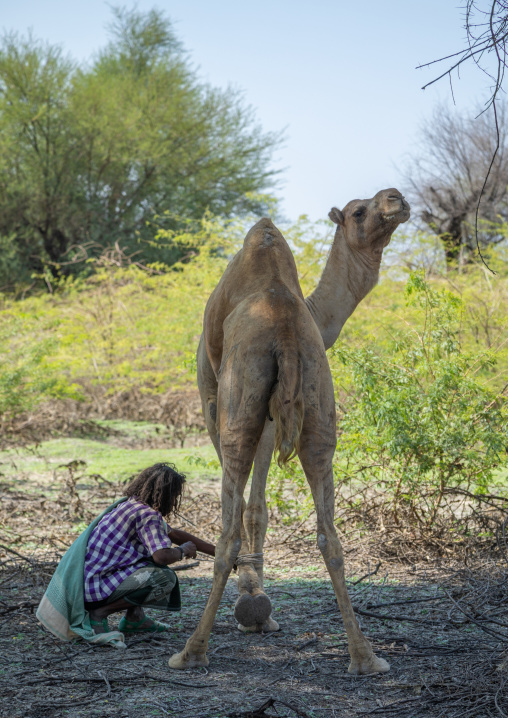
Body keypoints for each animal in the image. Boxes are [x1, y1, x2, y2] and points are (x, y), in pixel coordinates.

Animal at [169, 189, 410, 675]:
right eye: (359, 210)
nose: (396, 199)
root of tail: (284, 327)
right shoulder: (274, 414)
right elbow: (259, 506)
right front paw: (256, 599)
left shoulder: (213, 397)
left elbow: (249, 506)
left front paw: (251, 598)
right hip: (317, 410)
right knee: (330, 535)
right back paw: (365, 657)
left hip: (239, 404)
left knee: (227, 532)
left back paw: (191, 652)